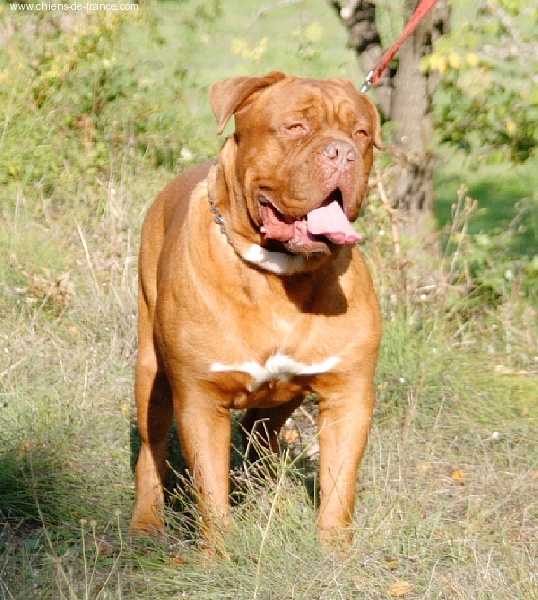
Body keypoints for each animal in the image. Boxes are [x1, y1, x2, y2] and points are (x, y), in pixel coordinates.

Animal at [130, 71, 382, 544]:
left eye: (361, 134)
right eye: (295, 127)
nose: (342, 152)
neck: (281, 275)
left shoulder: (348, 394)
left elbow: (339, 486)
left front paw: (333, 550)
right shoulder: (200, 400)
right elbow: (212, 493)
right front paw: (219, 553)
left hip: (284, 396)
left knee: (260, 431)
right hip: (151, 371)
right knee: (152, 449)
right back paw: (145, 521)